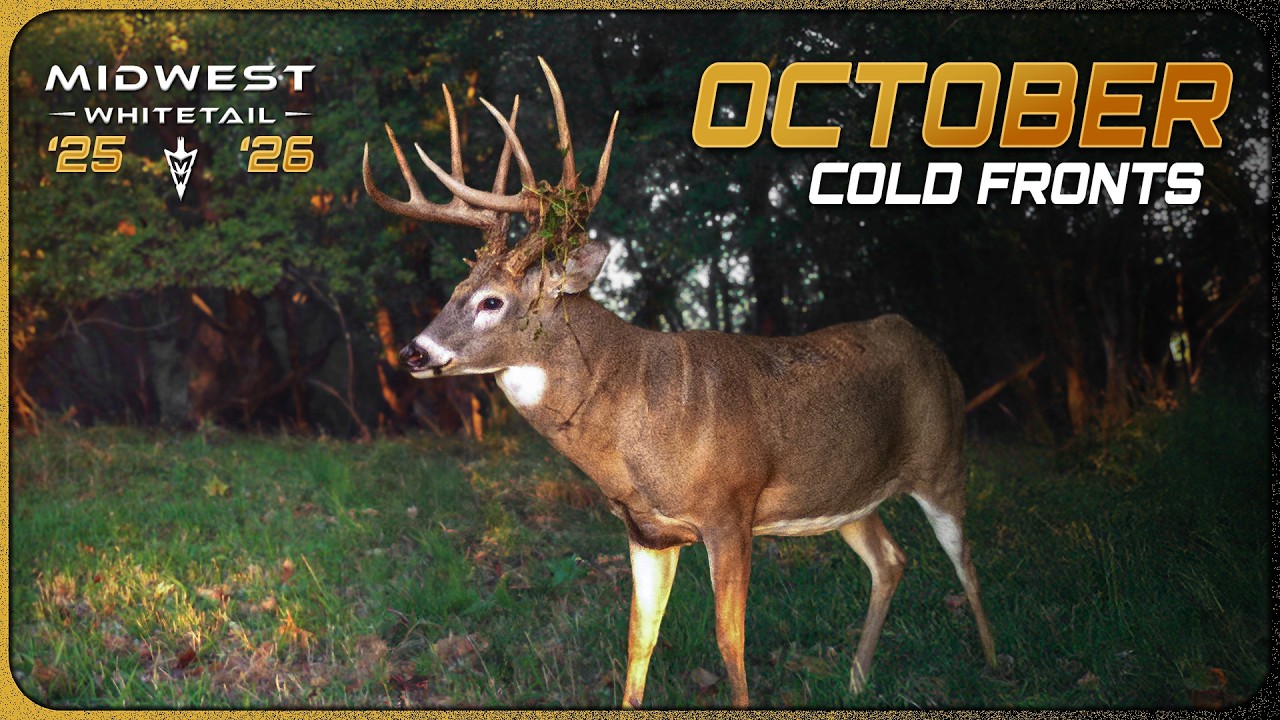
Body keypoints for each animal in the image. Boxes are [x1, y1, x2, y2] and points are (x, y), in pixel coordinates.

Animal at [363, 58, 997, 708]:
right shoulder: (646, 532)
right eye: (455, 291)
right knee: (891, 559)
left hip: (943, 455)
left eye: (492, 301)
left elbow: (730, 645)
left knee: (965, 560)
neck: (633, 422)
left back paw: (996, 667)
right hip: (845, 495)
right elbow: (639, 642)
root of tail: (926, 342)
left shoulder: (730, 512)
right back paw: (856, 679)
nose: (413, 351)